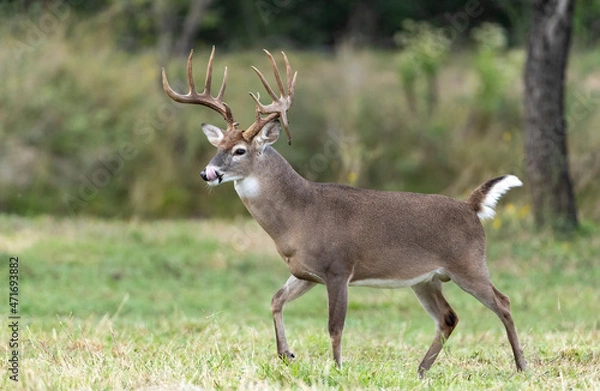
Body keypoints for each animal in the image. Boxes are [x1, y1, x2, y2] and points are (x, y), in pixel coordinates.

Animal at [162, 47, 528, 378]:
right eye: (217, 147)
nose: (207, 173)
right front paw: (286, 354)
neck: (298, 216)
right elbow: (276, 299)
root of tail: (470, 206)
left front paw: (337, 369)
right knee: (448, 317)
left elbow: (334, 326)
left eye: (239, 150)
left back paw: (521, 365)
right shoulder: (305, 271)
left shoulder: (339, 268)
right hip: (427, 279)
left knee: (503, 302)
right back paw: (421, 370)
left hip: (468, 263)